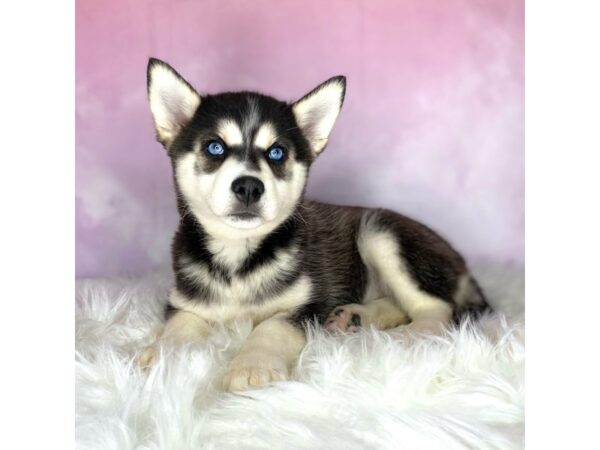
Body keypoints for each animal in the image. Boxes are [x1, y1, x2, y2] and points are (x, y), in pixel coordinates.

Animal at [139, 59, 488, 390]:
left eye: (277, 153)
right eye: (215, 147)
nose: (249, 187)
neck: (238, 256)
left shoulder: (309, 304)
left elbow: (272, 325)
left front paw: (252, 366)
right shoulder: (183, 301)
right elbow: (181, 323)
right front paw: (161, 354)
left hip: (380, 234)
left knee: (437, 309)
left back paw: (408, 338)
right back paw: (356, 316)